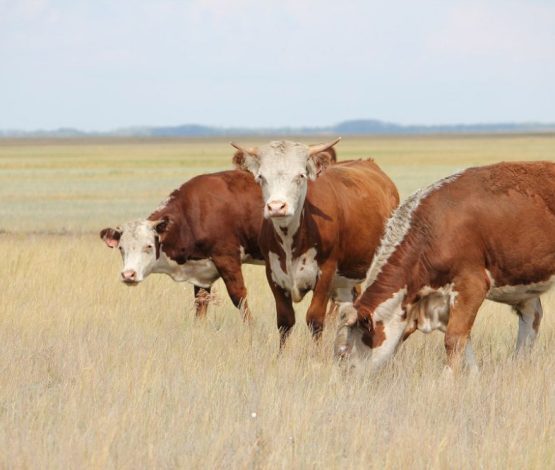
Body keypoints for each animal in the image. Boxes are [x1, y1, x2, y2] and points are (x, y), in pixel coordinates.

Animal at [100, 169, 264, 320]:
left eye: (149, 246)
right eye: (121, 248)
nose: (128, 275)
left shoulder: (227, 258)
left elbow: (239, 298)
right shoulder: (202, 275)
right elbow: (201, 305)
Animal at [231, 138, 400, 344]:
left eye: (300, 175)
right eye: (261, 177)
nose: (277, 207)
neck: (290, 240)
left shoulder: (325, 273)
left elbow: (315, 319)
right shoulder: (273, 274)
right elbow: (285, 321)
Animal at [334, 162, 555, 374]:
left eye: (343, 353)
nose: (343, 378)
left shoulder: (471, 286)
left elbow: (454, 339)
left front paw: (447, 380)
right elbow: (464, 343)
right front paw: (474, 377)